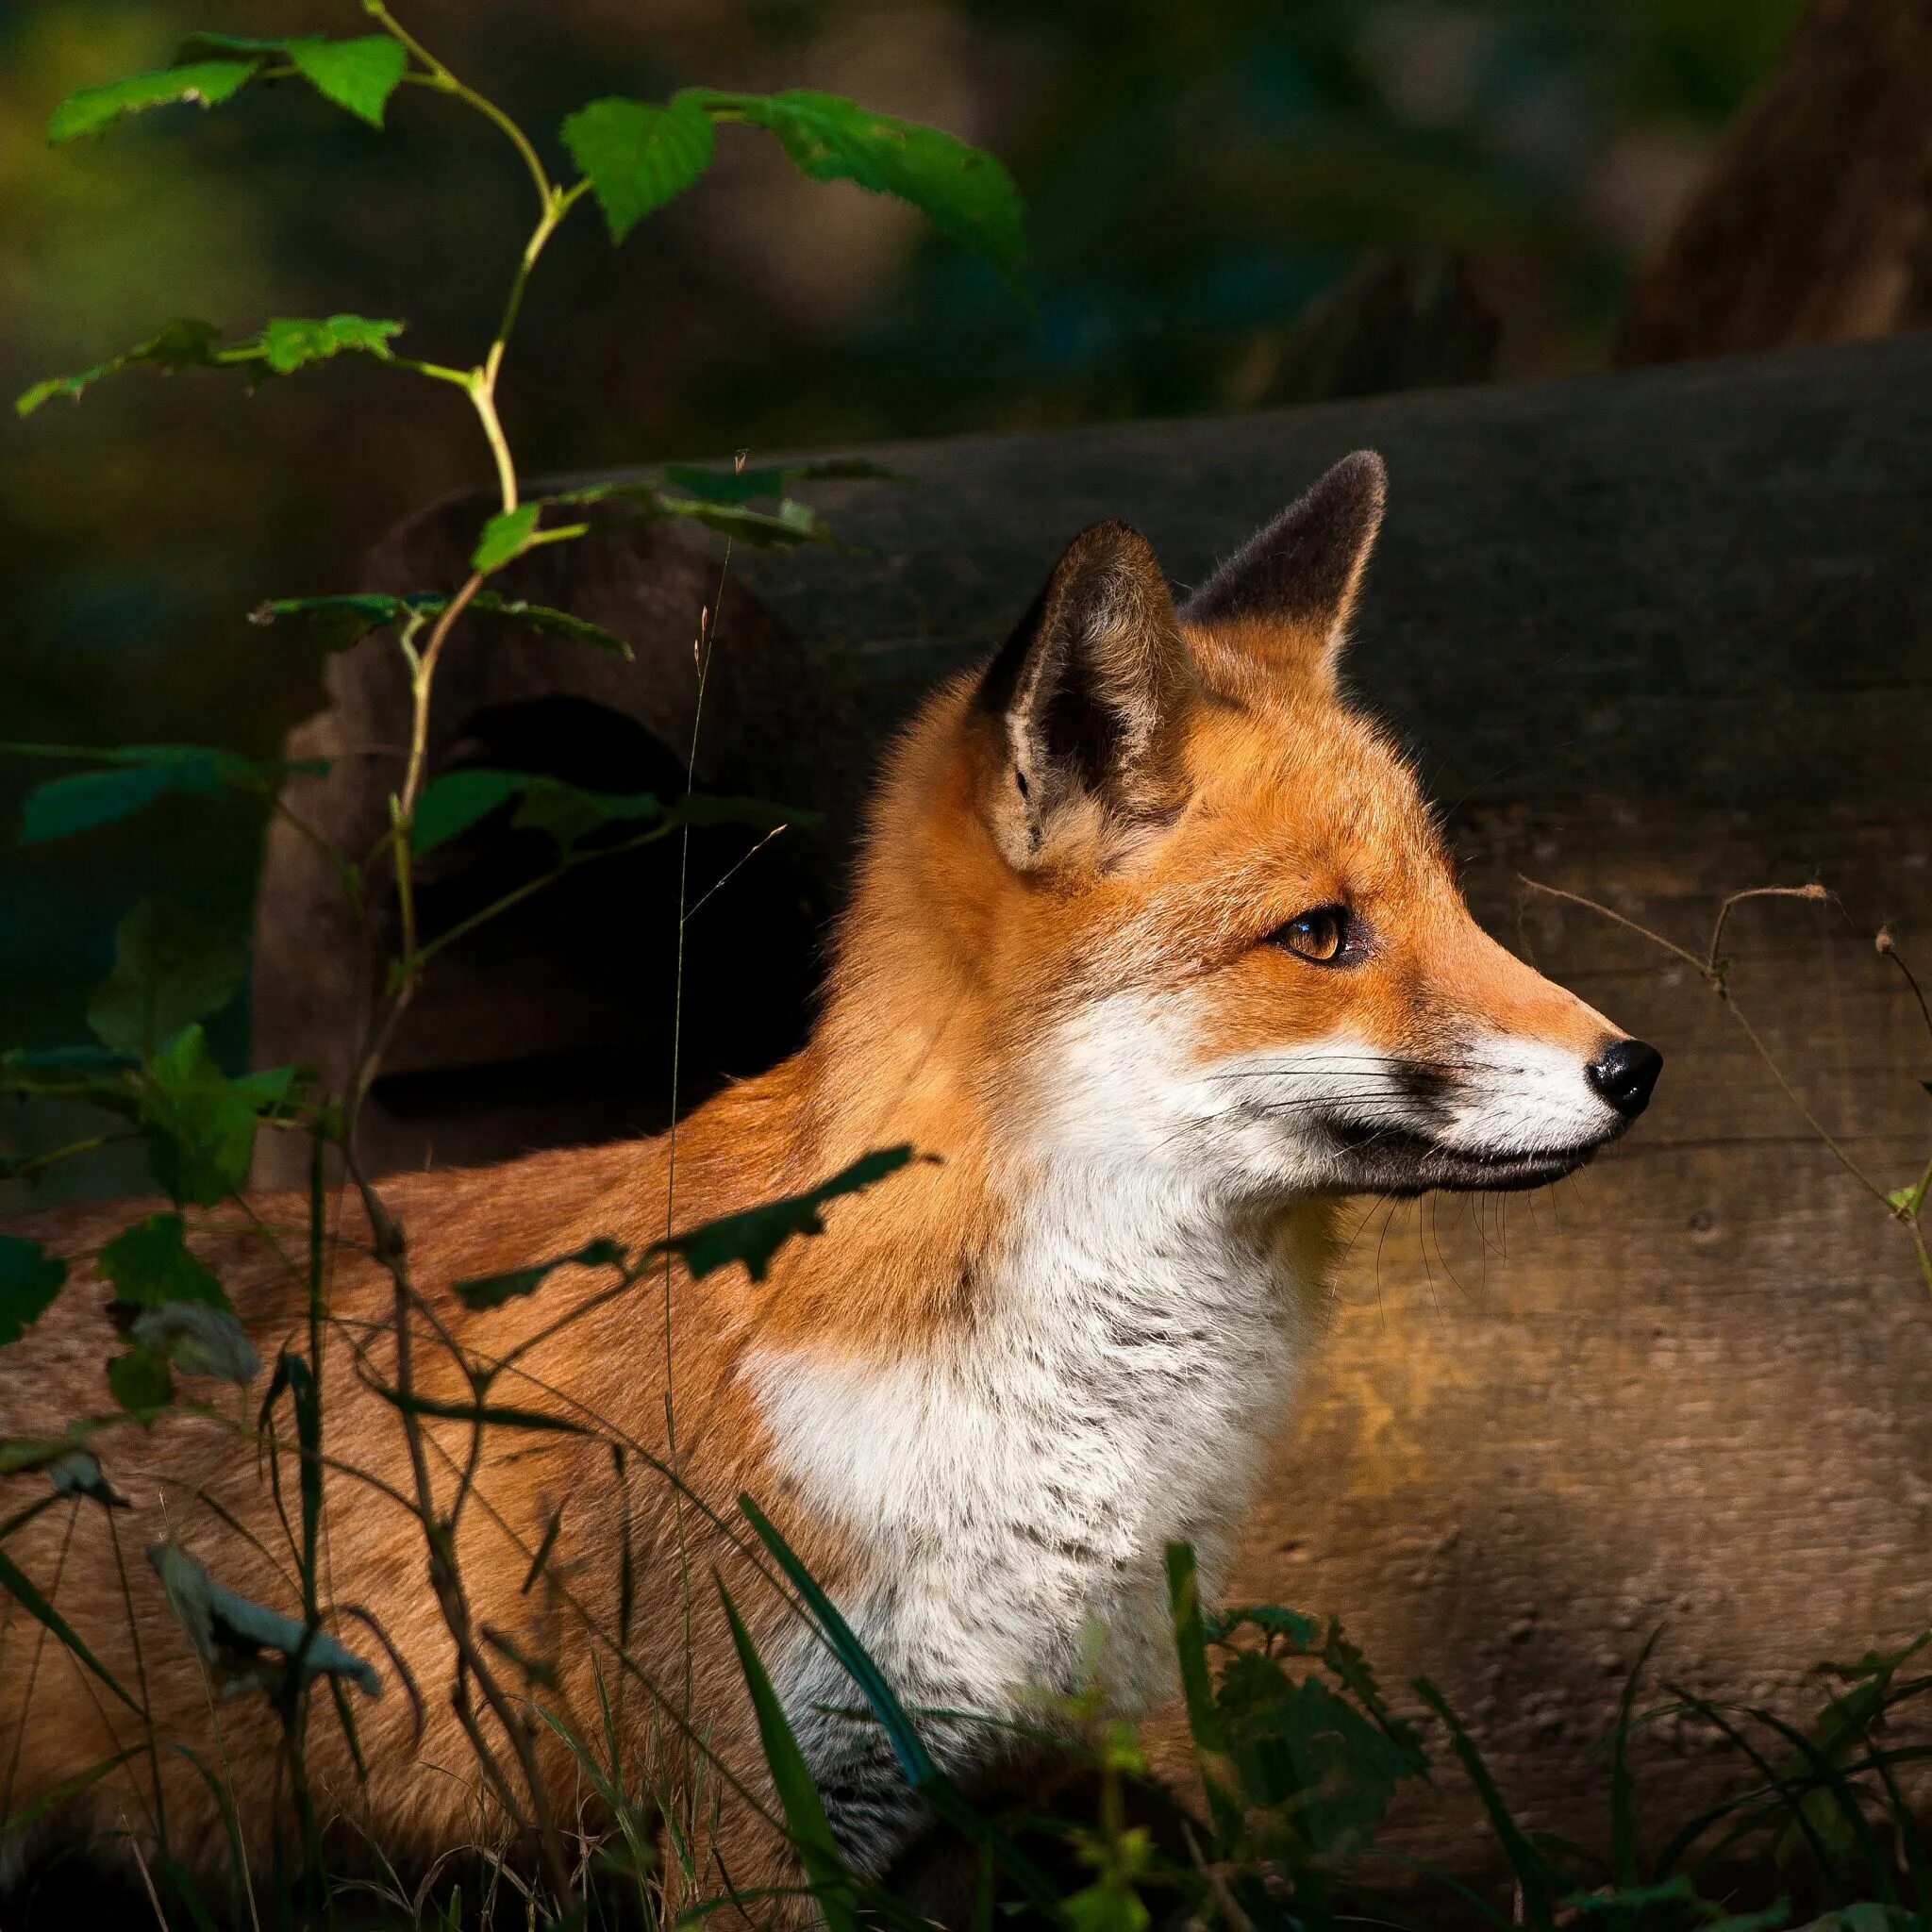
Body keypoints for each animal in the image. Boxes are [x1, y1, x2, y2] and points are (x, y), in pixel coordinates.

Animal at [0, 452, 1661, 1916]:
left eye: (1450, 899)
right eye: (1321, 935)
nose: (1637, 1067)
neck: (1050, 1427)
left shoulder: (996, 1796)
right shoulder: (745, 1813)